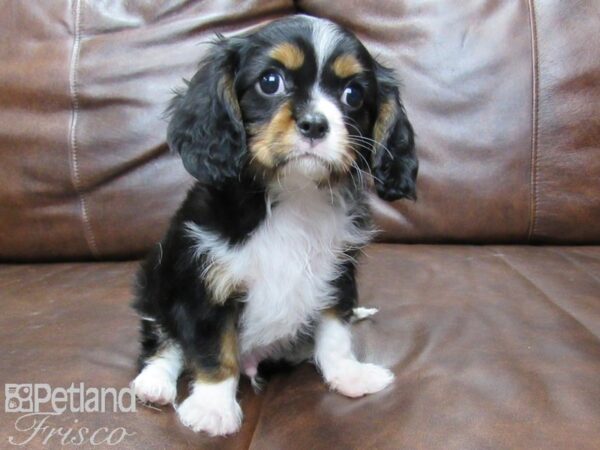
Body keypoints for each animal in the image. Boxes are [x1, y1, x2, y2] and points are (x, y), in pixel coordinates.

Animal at [130, 14, 418, 436]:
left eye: (353, 94)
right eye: (270, 82)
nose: (315, 124)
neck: (294, 193)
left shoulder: (336, 274)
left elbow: (335, 333)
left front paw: (348, 375)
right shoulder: (205, 282)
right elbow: (214, 348)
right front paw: (213, 407)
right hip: (155, 282)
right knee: (163, 342)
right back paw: (154, 383)